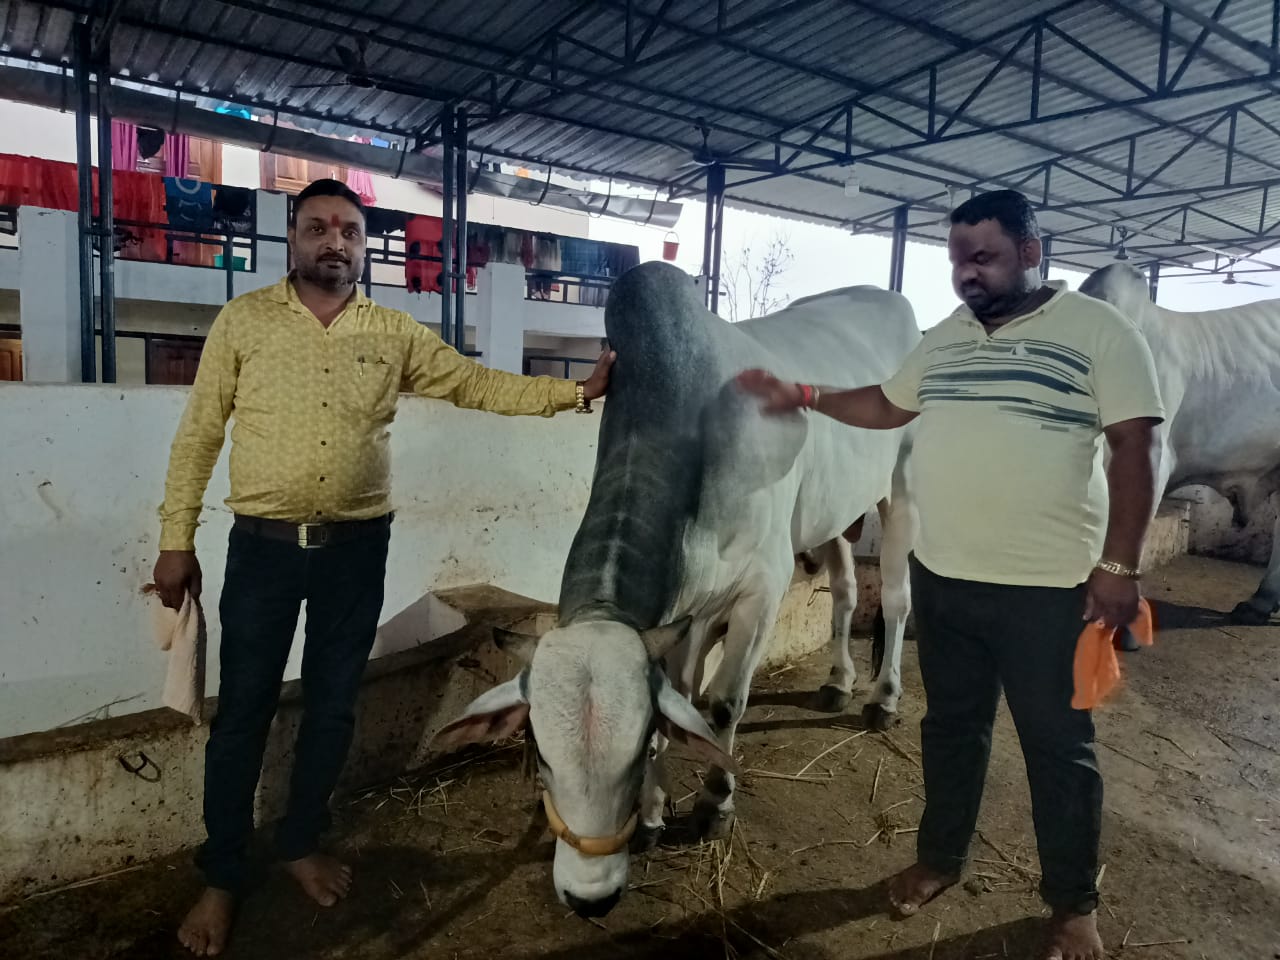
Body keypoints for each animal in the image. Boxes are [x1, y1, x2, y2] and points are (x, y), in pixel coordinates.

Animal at [433, 261, 919, 917]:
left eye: (637, 751)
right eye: (537, 752)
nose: (590, 897)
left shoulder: (762, 588)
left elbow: (722, 704)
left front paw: (715, 805)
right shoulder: (685, 612)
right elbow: (681, 695)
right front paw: (653, 818)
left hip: (903, 488)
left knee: (894, 597)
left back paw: (882, 698)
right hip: (833, 511)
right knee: (844, 590)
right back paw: (838, 682)